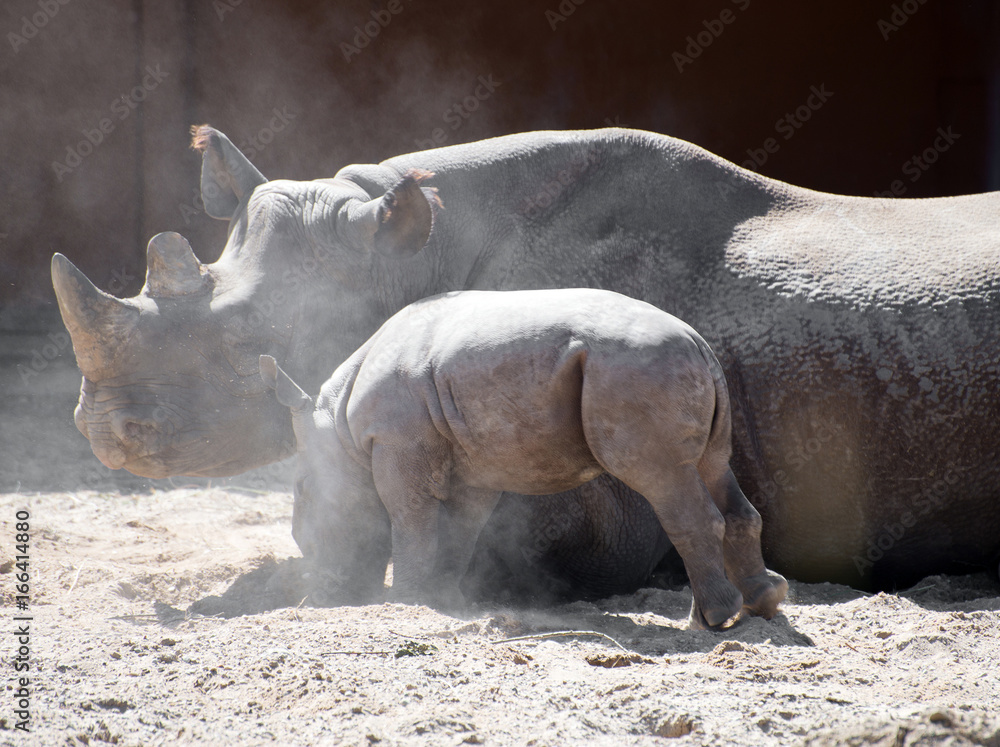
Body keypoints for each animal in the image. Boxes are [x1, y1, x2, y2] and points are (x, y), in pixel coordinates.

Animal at [258, 288, 787, 628]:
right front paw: (444, 600)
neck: (338, 427)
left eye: (303, 494)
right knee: (713, 467)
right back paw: (764, 603)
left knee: (664, 480)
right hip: (673, 371)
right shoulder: (472, 462)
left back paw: (712, 620)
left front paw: (406, 602)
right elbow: (463, 524)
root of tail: (701, 345)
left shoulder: (395, 439)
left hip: (638, 372)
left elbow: (409, 515)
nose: (324, 597)